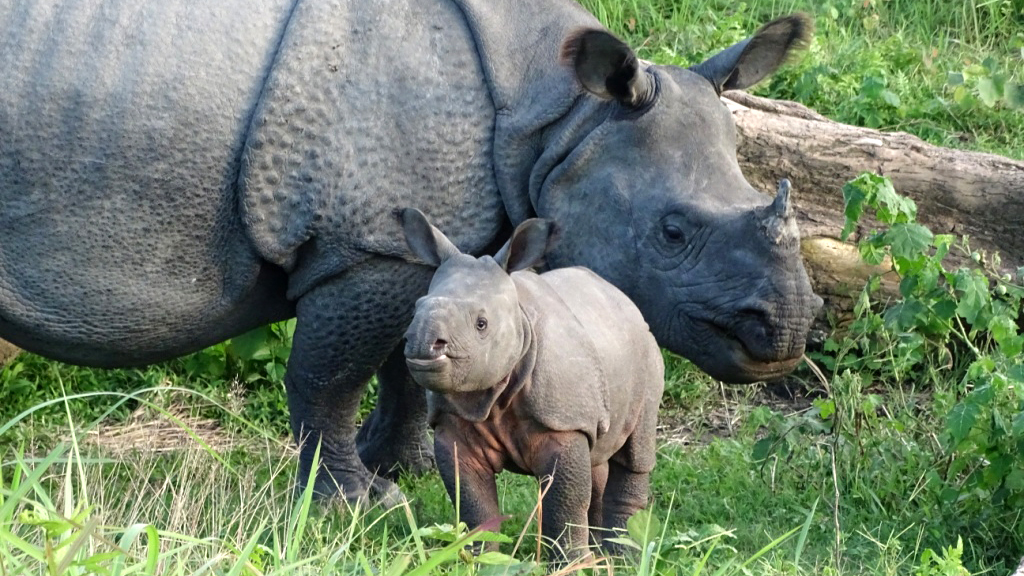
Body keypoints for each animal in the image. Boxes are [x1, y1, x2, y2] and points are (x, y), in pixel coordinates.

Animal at [0, 0, 815, 498]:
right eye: (673, 233)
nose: (787, 329)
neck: (558, 121)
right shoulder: (367, 245)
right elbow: (329, 377)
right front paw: (357, 503)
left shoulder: (433, 242)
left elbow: (412, 362)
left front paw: (407, 470)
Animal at [399, 208, 663, 557]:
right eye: (416, 309)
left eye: (481, 324)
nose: (423, 344)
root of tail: (624, 298)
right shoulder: (452, 421)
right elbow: (472, 502)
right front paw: (482, 558)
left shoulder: (564, 421)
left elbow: (565, 503)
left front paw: (571, 563)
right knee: (598, 457)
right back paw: (604, 553)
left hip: (647, 352)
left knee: (635, 453)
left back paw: (623, 557)